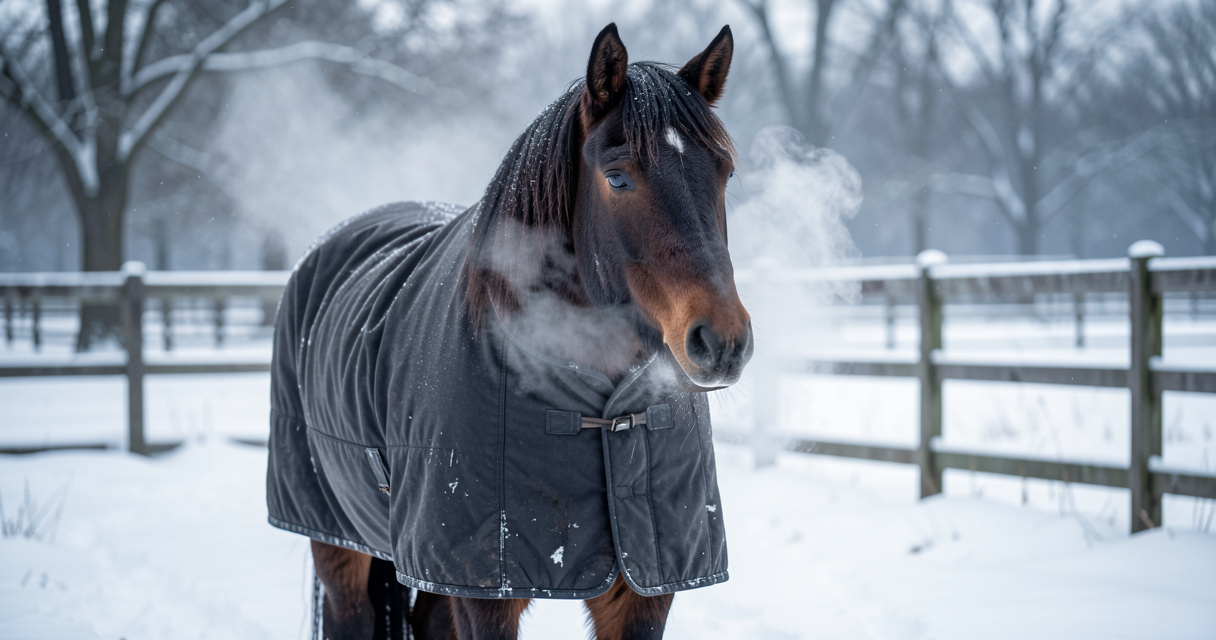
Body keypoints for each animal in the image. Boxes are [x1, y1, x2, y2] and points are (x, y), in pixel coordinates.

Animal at [266, 23, 752, 640]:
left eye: (724, 173)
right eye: (618, 177)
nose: (723, 341)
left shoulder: (645, 593)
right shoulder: (485, 593)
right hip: (341, 550)